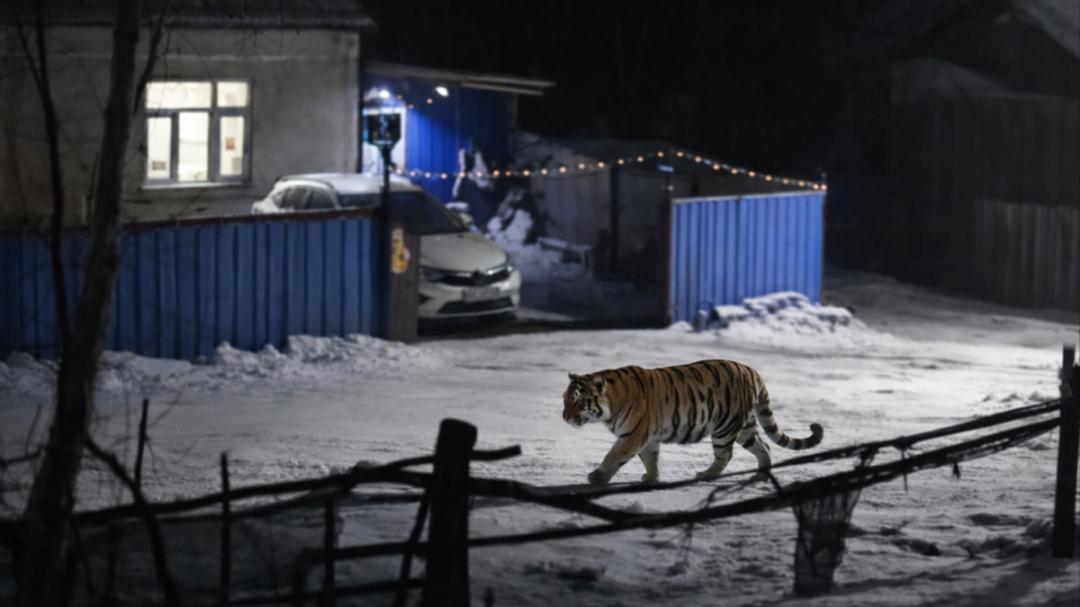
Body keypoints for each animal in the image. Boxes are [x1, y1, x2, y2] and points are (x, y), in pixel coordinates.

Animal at [561, 360, 823, 485]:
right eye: (565, 399)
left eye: (579, 401)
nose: (564, 417)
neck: (613, 401)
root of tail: (752, 371)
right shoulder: (647, 436)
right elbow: (650, 458)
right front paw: (651, 478)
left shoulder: (632, 435)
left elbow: (613, 456)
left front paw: (597, 477)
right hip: (744, 428)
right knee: (764, 446)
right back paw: (760, 476)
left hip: (724, 426)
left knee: (725, 455)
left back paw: (706, 475)